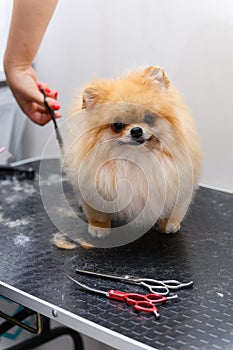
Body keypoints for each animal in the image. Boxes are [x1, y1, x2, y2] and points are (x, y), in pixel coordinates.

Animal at [64, 66, 202, 239]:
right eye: (118, 125)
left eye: (149, 118)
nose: (136, 130)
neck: (137, 158)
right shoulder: (94, 188)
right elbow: (98, 213)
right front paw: (99, 228)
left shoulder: (178, 183)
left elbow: (173, 209)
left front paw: (168, 224)